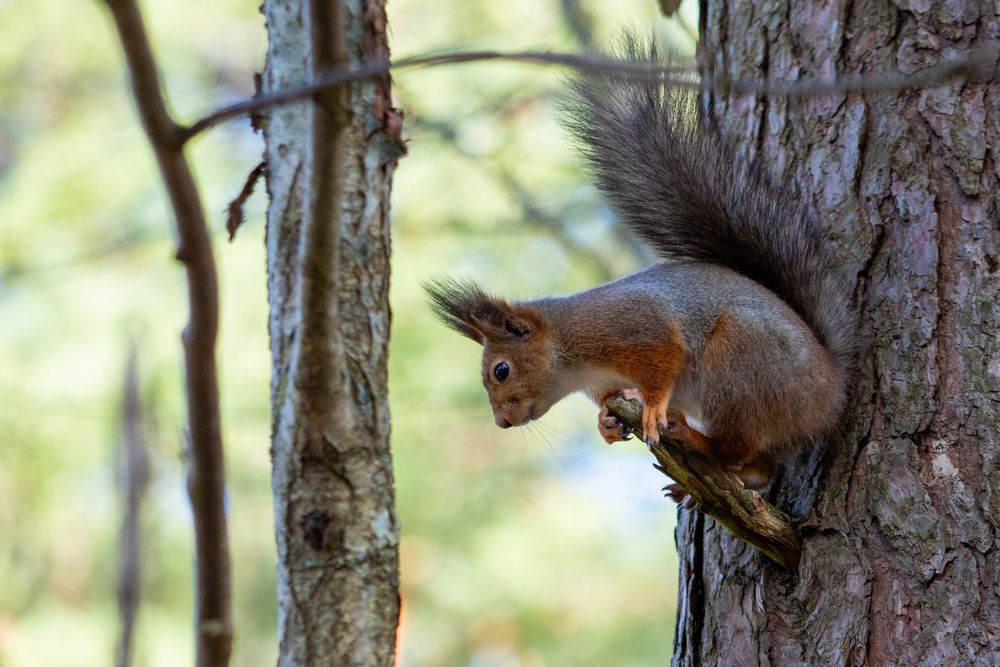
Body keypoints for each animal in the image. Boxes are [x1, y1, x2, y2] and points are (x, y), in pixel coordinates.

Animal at [425, 35, 855, 499]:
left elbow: (663, 363)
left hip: (741, 362)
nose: (502, 422)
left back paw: (692, 437)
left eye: (501, 370)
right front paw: (606, 424)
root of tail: (832, 391)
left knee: (736, 445)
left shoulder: (636, 326)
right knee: (759, 466)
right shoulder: (604, 383)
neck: (572, 352)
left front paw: (651, 409)